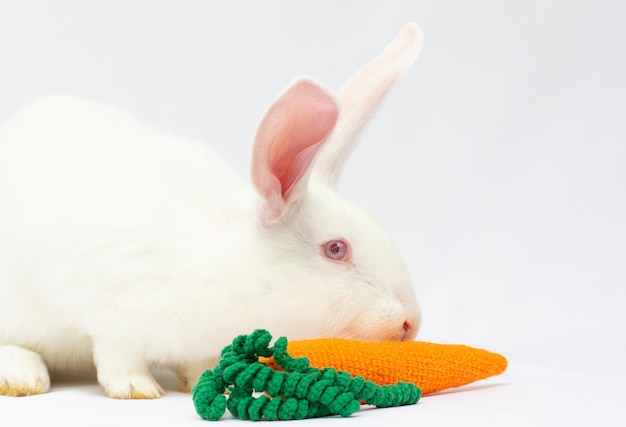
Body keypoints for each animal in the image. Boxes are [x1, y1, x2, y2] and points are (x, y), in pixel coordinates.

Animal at [0, 23, 422, 400]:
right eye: (336, 249)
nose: (410, 322)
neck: (230, 263)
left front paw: (208, 381)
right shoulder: (112, 314)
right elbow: (119, 357)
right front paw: (137, 389)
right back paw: (22, 376)